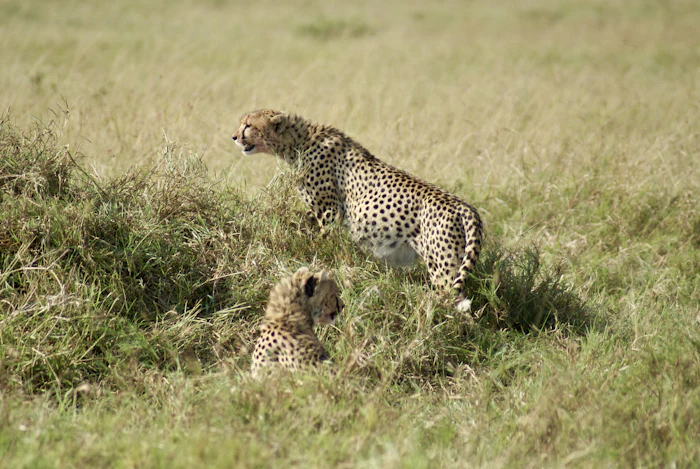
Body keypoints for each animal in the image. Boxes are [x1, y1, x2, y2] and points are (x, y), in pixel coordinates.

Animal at [233, 109, 483, 311]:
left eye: (248, 125)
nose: (234, 137)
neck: (298, 141)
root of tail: (466, 207)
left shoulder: (329, 212)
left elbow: (325, 245)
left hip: (444, 269)